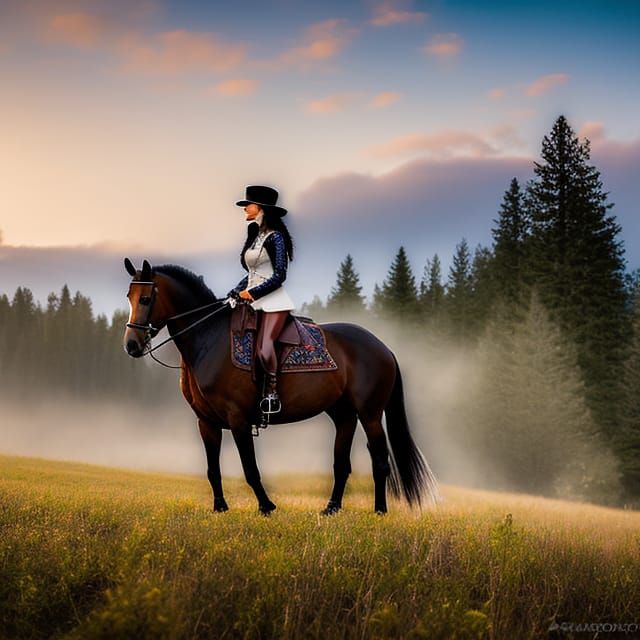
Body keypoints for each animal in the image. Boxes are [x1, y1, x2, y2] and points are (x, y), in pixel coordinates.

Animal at [123, 258, 439, 515]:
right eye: (129, 296)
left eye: (147, 298)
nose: (131, 345)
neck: (209, 339)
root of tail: (383, 347)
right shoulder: (206, 422)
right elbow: (213, 469)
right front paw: (220, 507)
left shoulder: (237, 419)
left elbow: (250, 469)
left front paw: (266, 506)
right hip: (344, 415)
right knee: (341, 464)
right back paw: (332, 508)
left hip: (370, 414)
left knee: (380, 461)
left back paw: (380, 510)